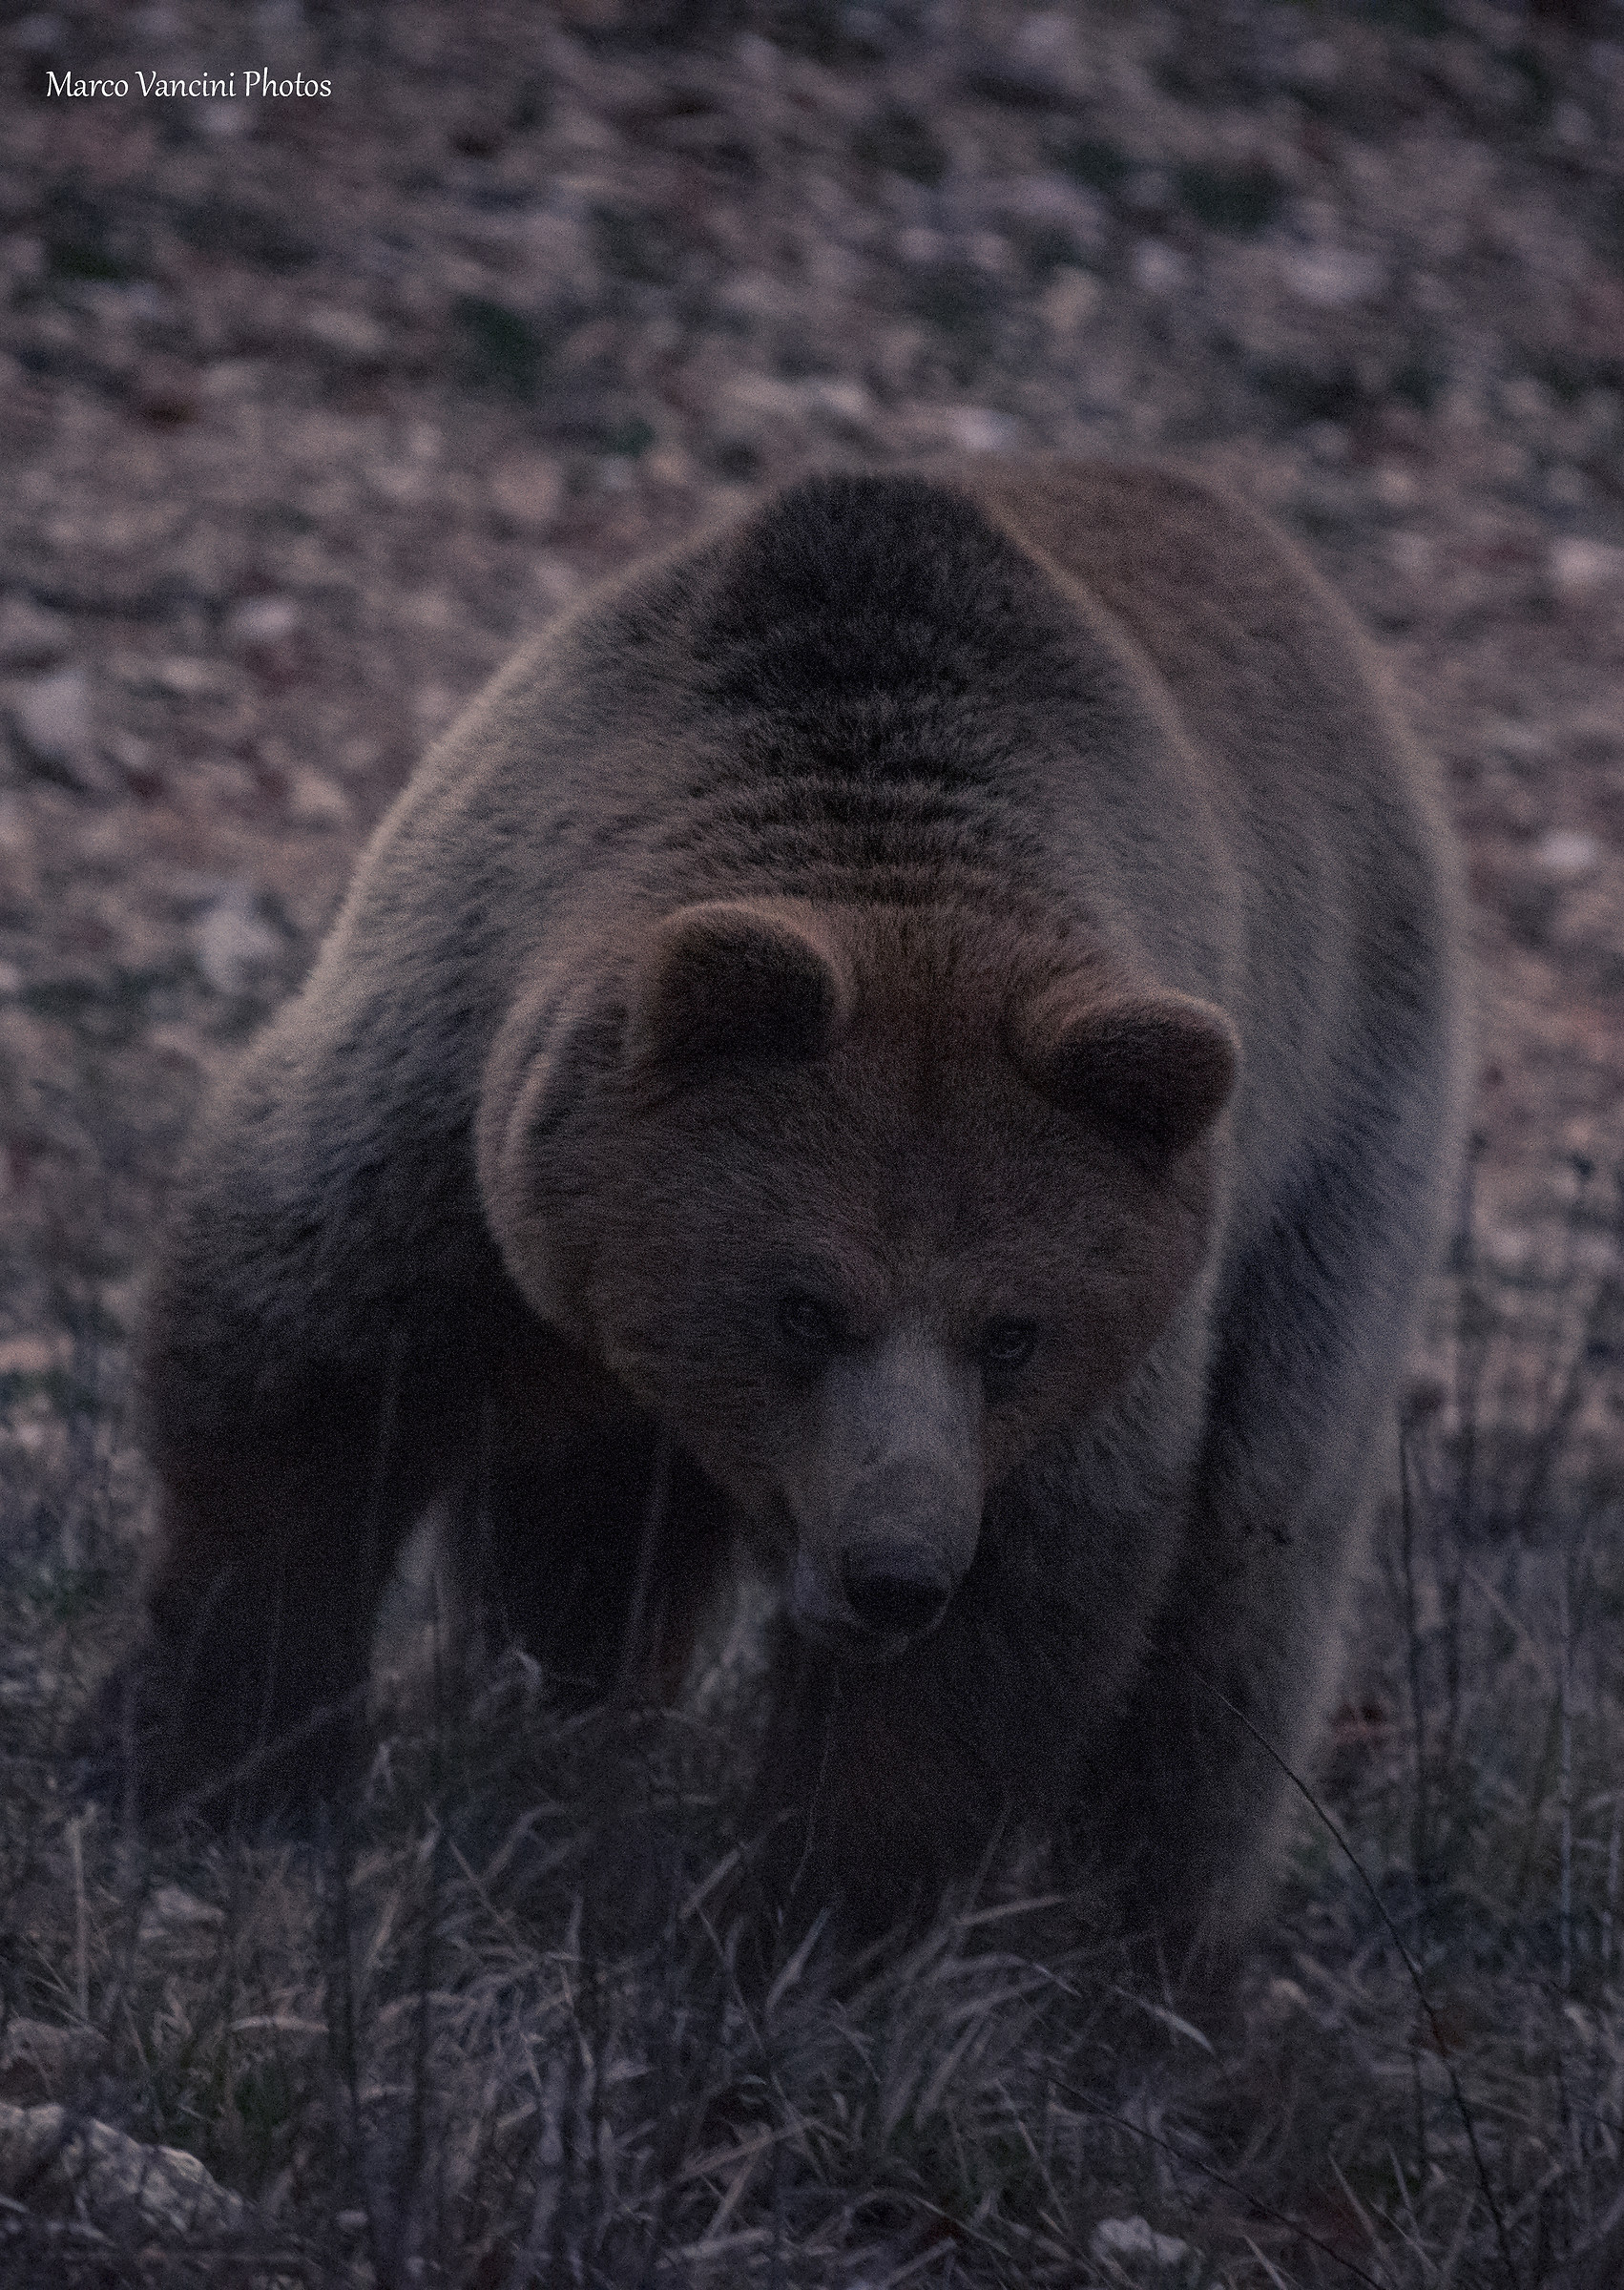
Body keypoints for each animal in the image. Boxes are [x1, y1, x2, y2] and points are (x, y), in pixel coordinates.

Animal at [105, 460, 1470, 1977]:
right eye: (803, 1303)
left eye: (1013, 1330)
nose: (893, 1570)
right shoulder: (452, 1106)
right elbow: (298, 1378)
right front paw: (228, 1771)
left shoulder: (1091, 1377)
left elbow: (1012, 1621)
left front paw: (801, 1924)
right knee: (584, 1519)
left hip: (1337, 1146)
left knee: (1247, 1578)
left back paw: (1152, 1954)